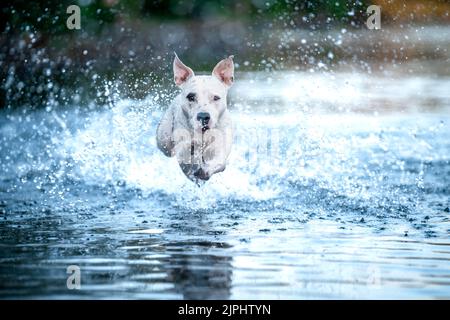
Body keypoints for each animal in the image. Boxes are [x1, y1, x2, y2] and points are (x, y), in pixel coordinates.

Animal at [156, 53, 234, 181]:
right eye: (191, 97)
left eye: (216, 98)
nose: (203, 116)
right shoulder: (182, 148)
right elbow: (185, 153)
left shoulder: (219, 149)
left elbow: (218, 162)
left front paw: (204, 171)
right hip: (164, 139)